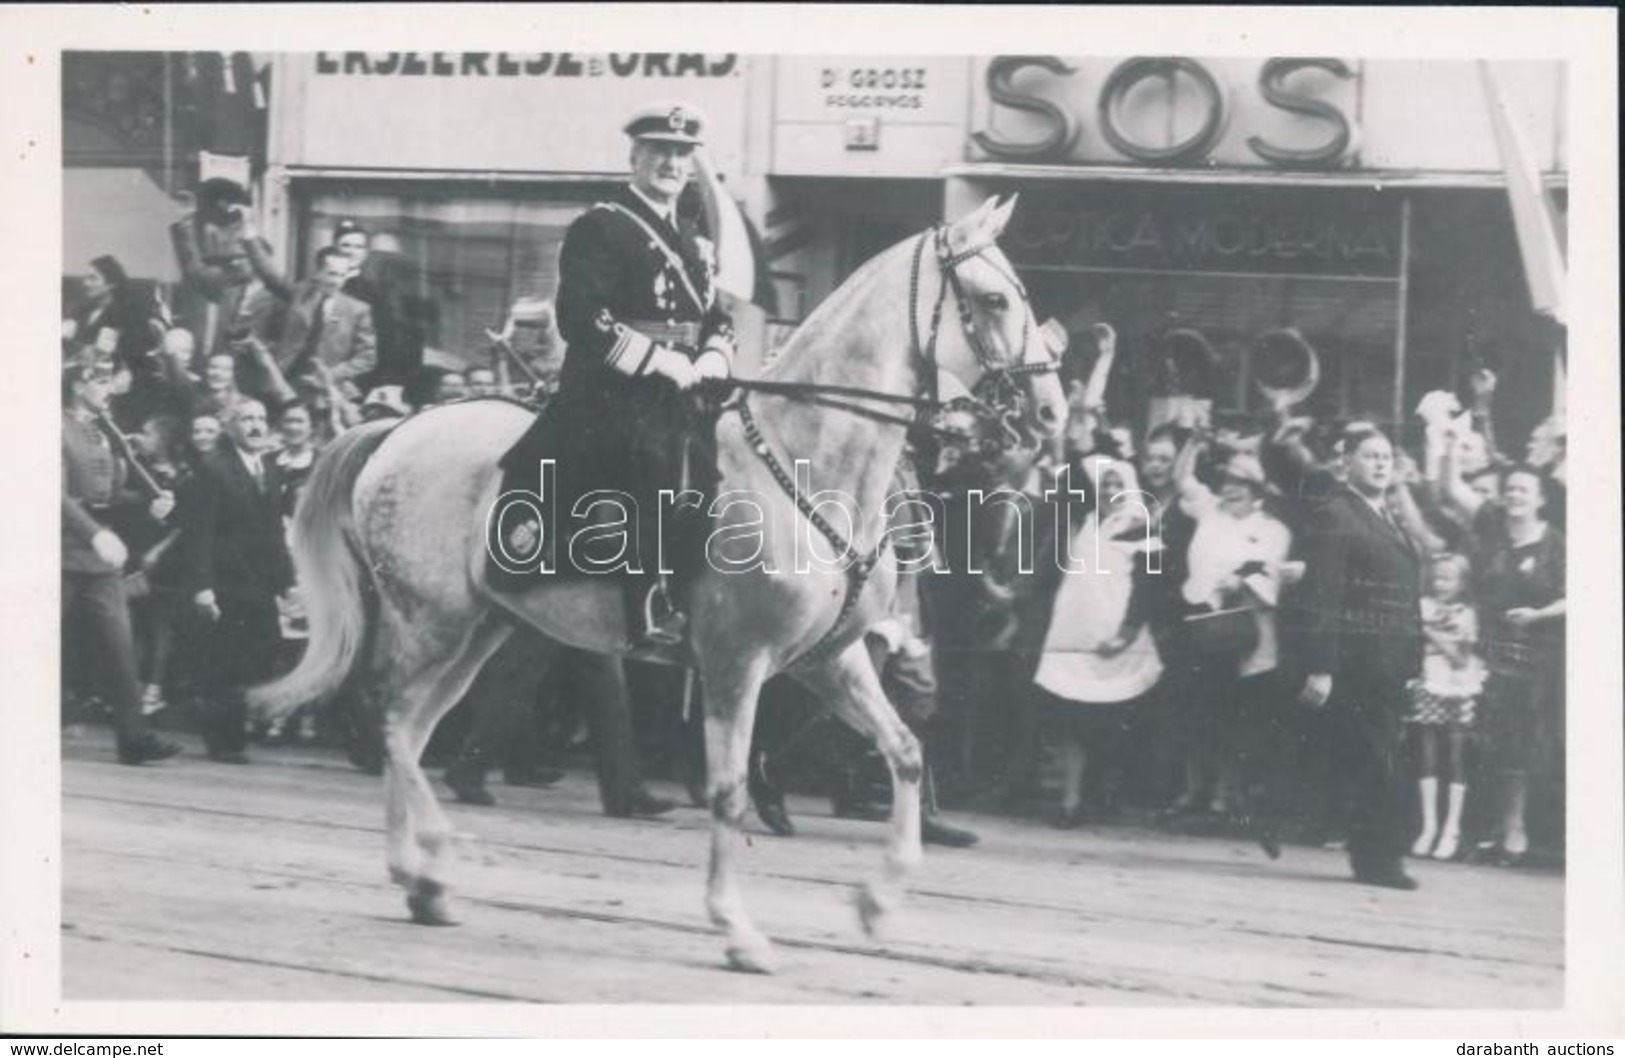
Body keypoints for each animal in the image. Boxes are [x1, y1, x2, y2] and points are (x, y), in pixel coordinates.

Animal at [250, 194, 1066, 975]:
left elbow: (904, 751)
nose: (1052, 412)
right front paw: (737, 930)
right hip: (433, 621)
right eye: (995, 299)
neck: (804, 464)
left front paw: (876, 902)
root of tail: (397, 430)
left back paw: (422, 880)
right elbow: (727, 790)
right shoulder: (737, 662)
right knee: (392, 721)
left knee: (413, 731)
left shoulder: (827, 659)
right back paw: (429, 864)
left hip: (480, 629)